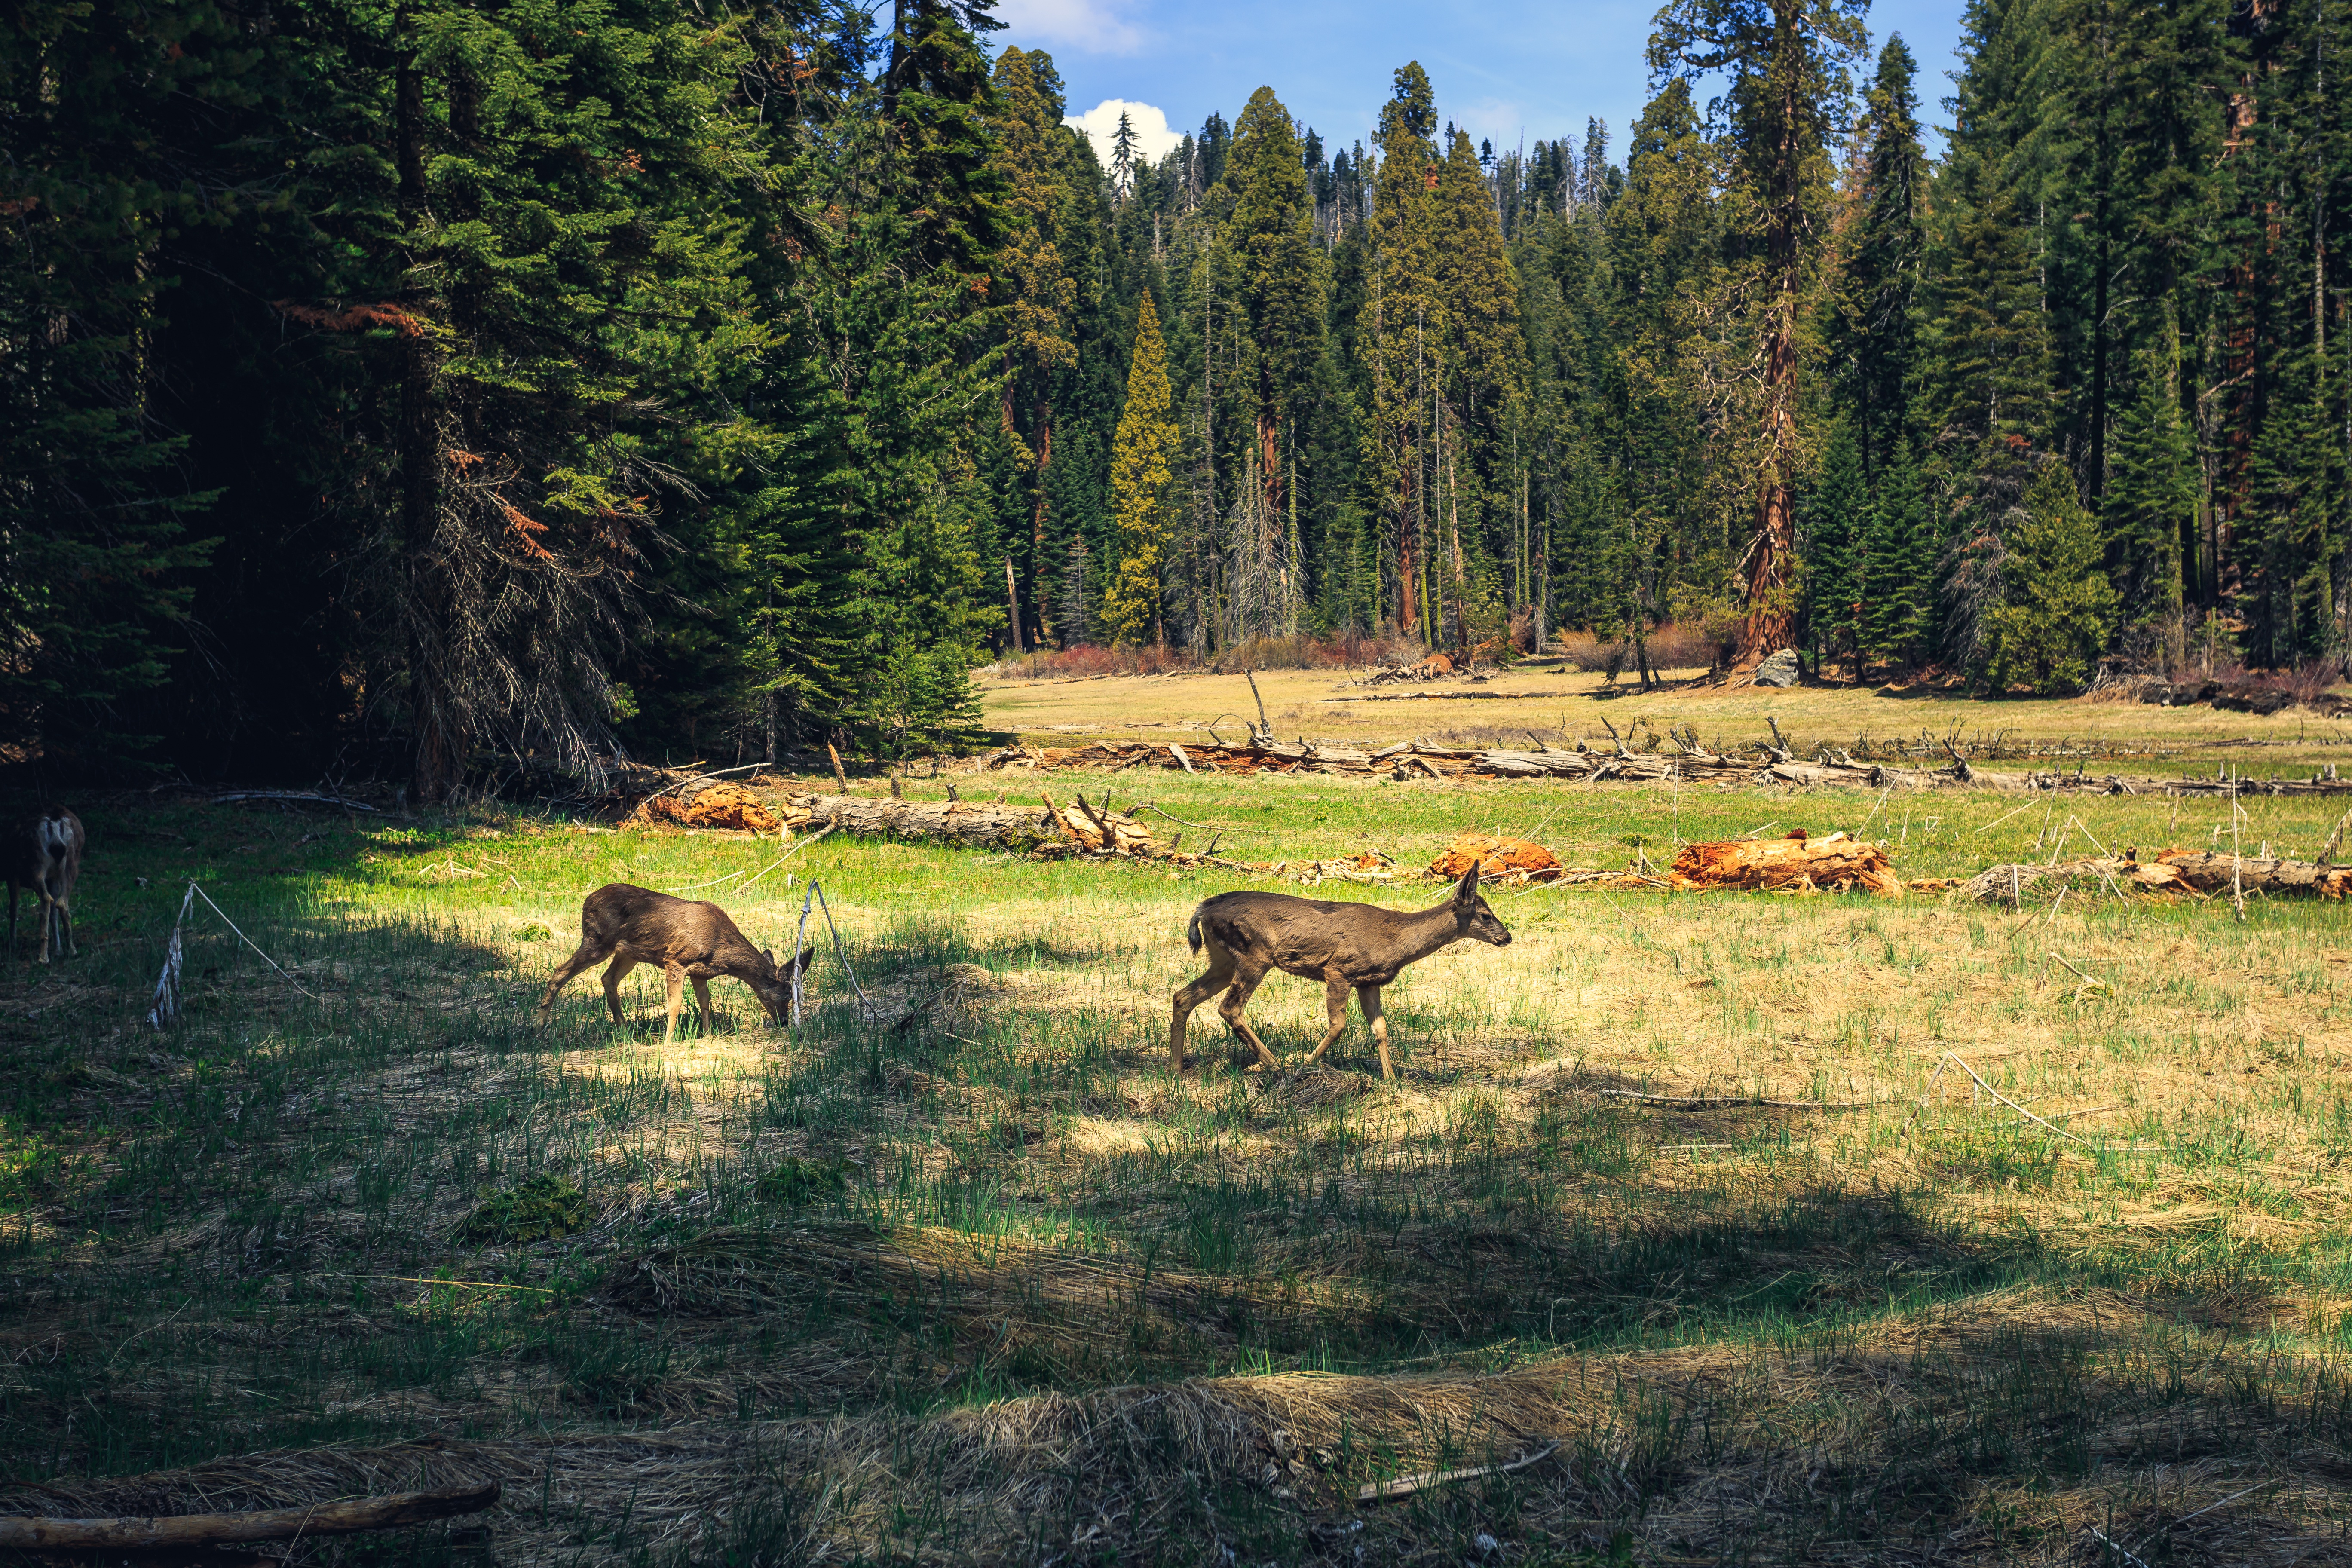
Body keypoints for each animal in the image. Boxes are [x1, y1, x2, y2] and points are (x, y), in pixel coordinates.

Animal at [8, 818, 86, 964]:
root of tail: (55, 825)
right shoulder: (52, 879)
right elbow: (54, 913)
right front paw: (59, 951)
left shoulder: (13, 874)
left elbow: (13, 908)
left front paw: (13, 944)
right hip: (71, 865)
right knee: (61, 904)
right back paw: (72, 951)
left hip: (37, 865)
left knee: (45, 902)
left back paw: (43, 958)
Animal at [539, 884, 814, 1044]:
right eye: (788, 994)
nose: (785, 1022)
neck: (720, 947)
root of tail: (587, 900)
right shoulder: (676, 960)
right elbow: (675, 1004)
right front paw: (668, 1043)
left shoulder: (701, 972)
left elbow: (705, 1002)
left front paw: (708, 1035)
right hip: (598, 939)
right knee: (560, 972)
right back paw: (538, 1026)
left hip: (628, 952)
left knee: (608, 978)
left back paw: (624, 1030)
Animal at [1171, 865, 1514, 1086]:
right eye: (1486, 916)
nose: (1507, 937)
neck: (1395, 940)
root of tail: (1202, 909)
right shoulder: (1338, 970)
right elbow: (1339, 1025)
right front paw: (1304, 1065)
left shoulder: (1369, 981)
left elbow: (1381, 1029)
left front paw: (1392, 1081)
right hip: (1253, 955)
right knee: (1229, 1008)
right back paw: (1274, 1064)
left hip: (1222, 959)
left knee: (1183, 996)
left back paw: (1177, 1070)